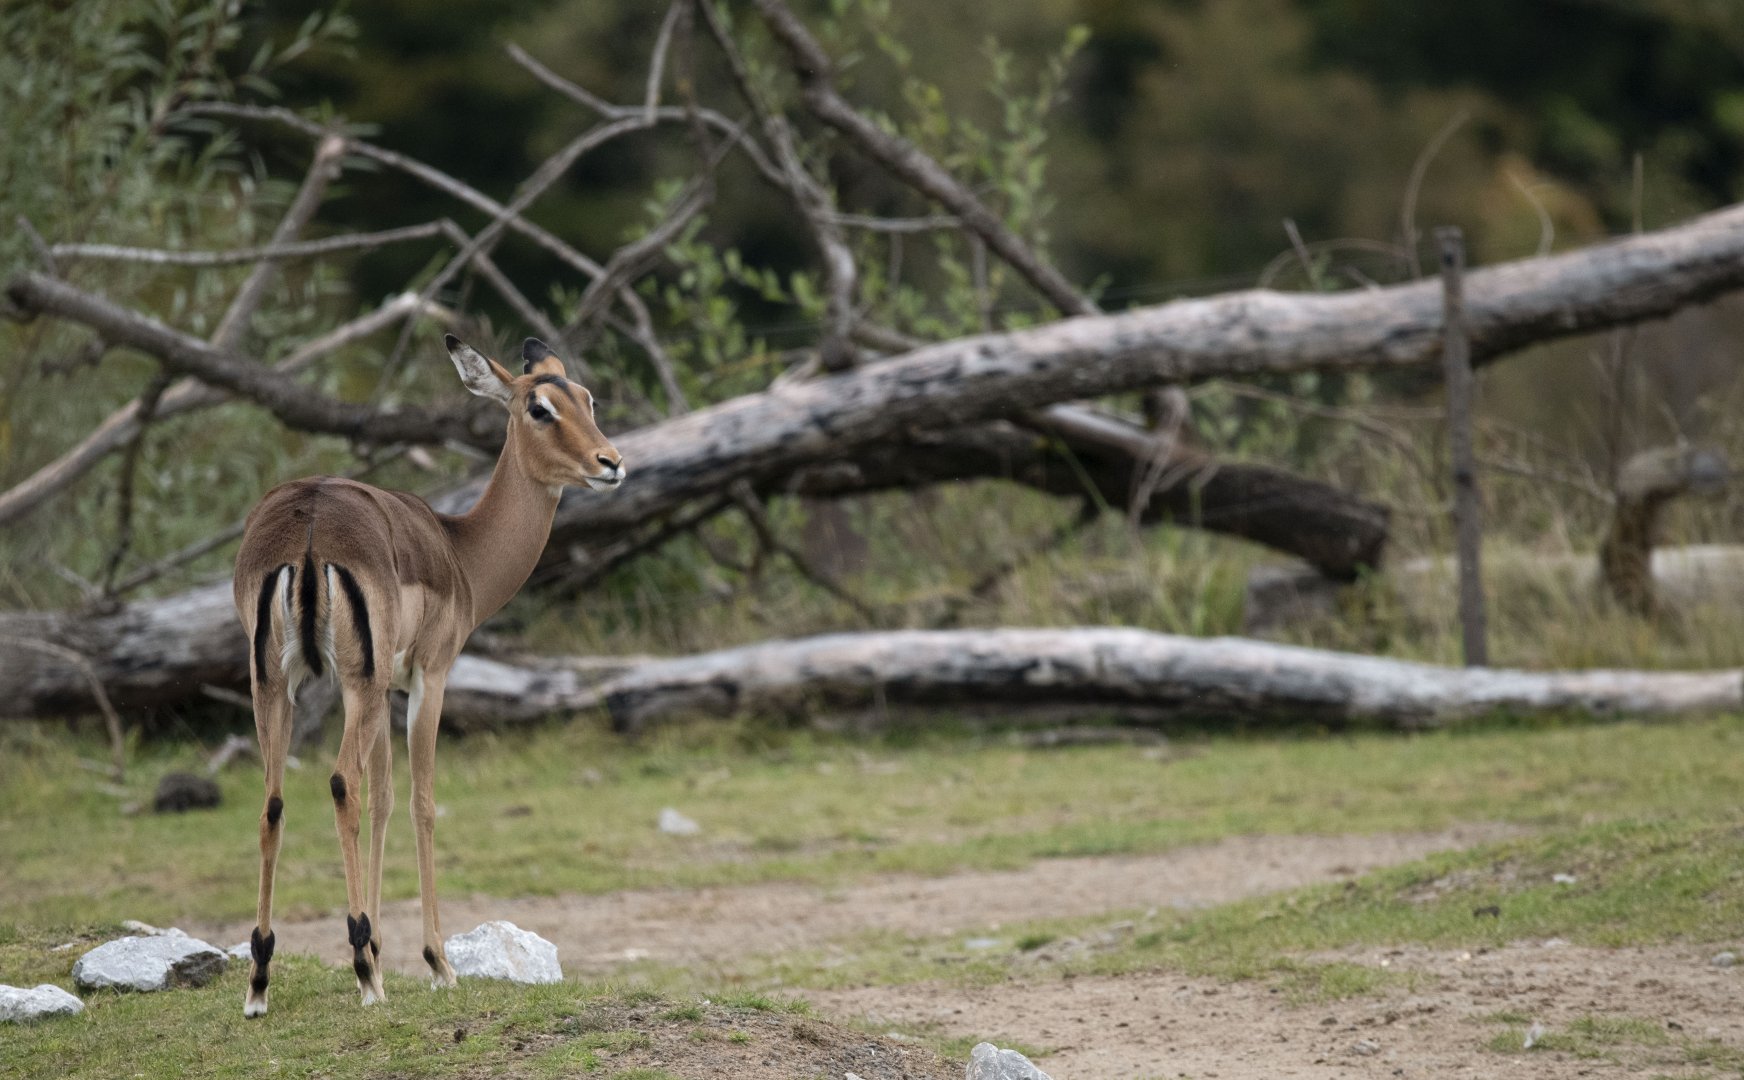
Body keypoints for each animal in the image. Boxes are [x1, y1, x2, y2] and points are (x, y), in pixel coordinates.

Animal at [232, 335, 624, 1017]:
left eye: (587, 397)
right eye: (539, 408)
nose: (611, 463)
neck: (460, 552)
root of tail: (308, 527)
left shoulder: (379, 686)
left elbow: (385, 800)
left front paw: (381, 947)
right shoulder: (427, 677)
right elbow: (421, 802)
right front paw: (435, 962)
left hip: (279, 685)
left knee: (276, 801)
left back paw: (261, 980)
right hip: (352, 686)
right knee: (341, 783)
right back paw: (364, 972)